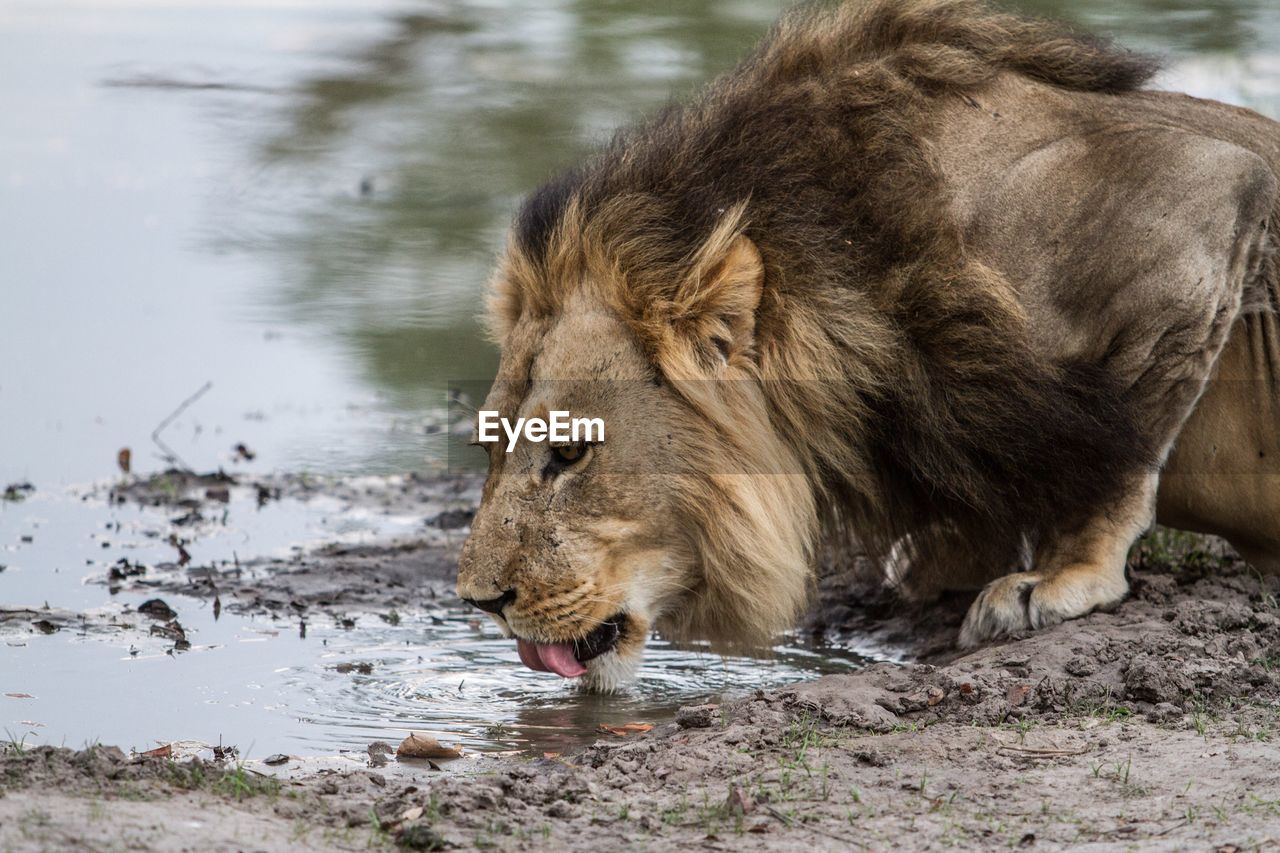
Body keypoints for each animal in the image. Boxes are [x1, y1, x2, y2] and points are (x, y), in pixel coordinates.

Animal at [455, 0, 1274, 686]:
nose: (480, 601)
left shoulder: (1204, 194)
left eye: (569, 455)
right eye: (491, 448)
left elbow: (1122, 452)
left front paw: (1060, 575)